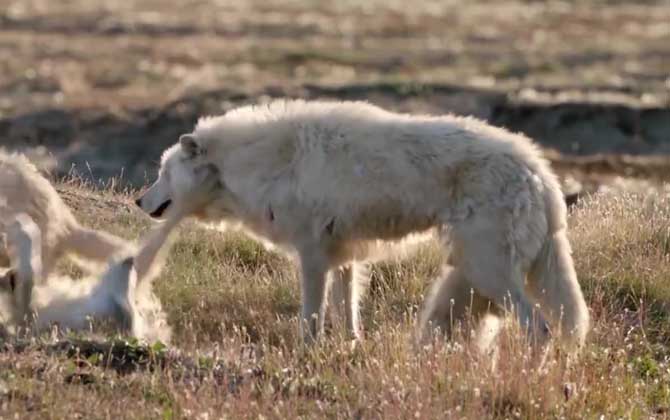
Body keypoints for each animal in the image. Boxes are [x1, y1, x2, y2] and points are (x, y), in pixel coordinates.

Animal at [136, 99, 592, 352]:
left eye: (161, 172)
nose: (138, 201)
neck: (264, 161)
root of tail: (542, 173)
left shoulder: (314, 257)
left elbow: (311, 317)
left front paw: (307, 356)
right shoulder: (344, 257)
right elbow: (348, 314)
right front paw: (351, 349)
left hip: (488, 270)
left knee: (541, 329)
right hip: (479, 272)